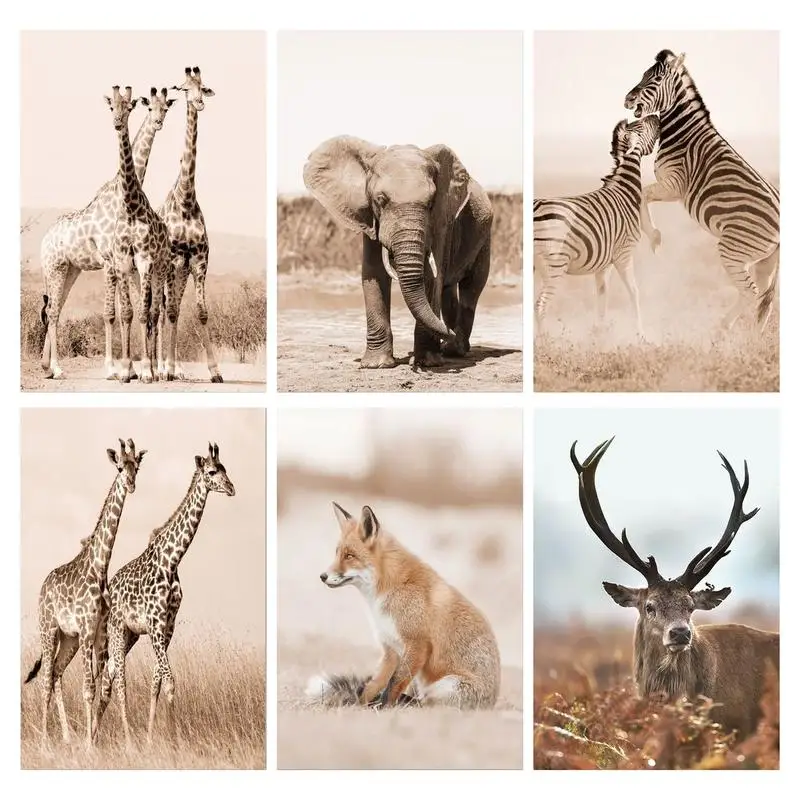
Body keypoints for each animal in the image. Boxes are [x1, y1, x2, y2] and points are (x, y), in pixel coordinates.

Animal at [23, 439, 146, 749]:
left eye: (136, 467)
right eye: (119, 467)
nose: (131, 484)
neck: (99, 566)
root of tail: (43, 587)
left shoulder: (99, 632)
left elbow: (98, 683)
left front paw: (91, 740)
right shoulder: (88, 629)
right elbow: (88, 687)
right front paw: (89, 746)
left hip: (69, 639)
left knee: (56, 672)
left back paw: (66, 737)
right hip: (49, 629)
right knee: (45, 678)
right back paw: (45, 743)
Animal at [39, 87, 176, 381]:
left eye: (166, 108)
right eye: (149, 108)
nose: (158, 122)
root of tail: (43, 241)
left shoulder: (124, 263)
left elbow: (127, 310)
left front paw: (131, 369)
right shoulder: (110, 260)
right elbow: (111, 313)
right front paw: (115, 368)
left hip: (70, 269)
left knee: (56, 308)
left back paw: (47, 366)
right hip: (55, 267)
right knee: (52, 311)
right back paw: (57, 368)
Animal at [93, 443, 236, 745]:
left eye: (225, 468)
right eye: (211, 471)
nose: (231, 488)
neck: (172, 561)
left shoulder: (168, 626)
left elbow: (156, 682)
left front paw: (152, 737)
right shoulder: (156, 624)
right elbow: (170, 681)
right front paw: (173, 738)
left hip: (131, 635)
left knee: (109, 678)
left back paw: (94, 738)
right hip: (117, 630)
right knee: (117, 680)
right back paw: (123, 740)